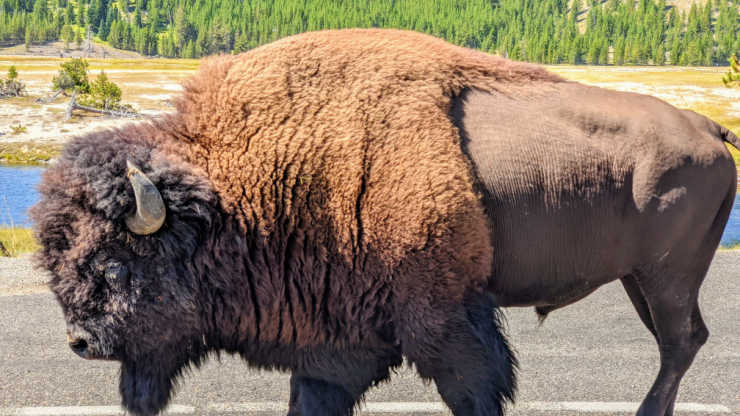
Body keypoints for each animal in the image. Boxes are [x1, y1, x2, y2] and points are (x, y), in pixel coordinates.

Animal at [31, 29, 736, 416]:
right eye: (57, 260)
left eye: (115, 262)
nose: (80, 341)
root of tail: (709, 129)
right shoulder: (331, 334)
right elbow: (314, 397)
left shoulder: (441, 316)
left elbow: (474, 389)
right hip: (642, 279)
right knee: (682, 341)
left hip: (666, 276)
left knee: (679, 343)